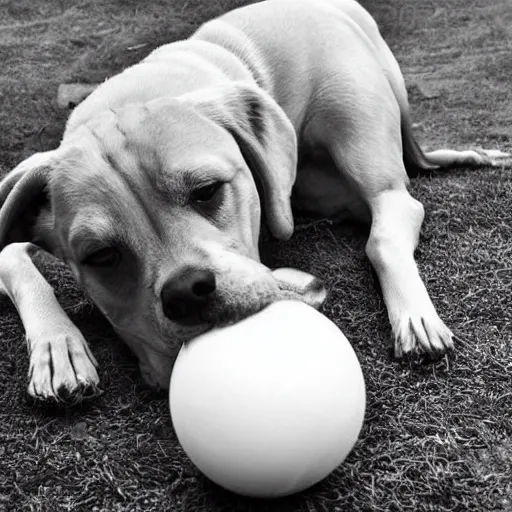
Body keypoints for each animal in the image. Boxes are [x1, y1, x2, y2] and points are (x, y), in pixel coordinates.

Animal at [0, 0, 508, 402]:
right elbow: (16, 261)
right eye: (101, 256)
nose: (186, 293)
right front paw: (58, 347)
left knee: (393, 212)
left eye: (207, 191)